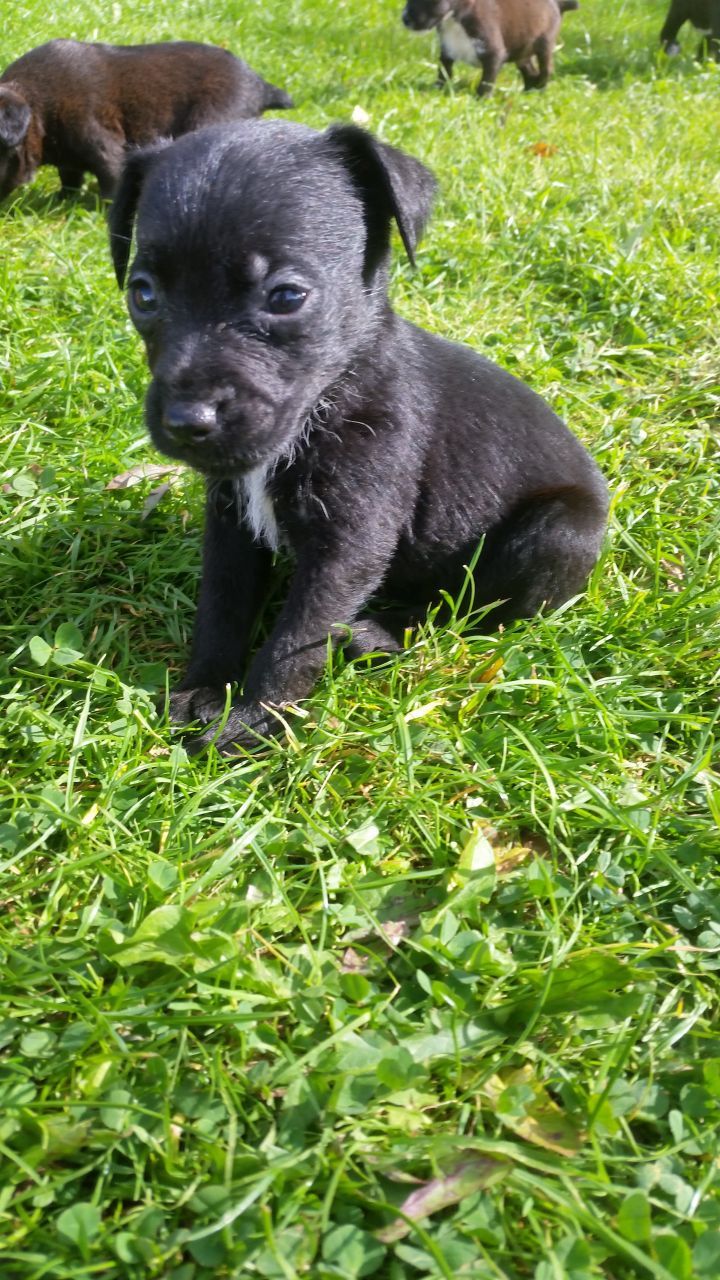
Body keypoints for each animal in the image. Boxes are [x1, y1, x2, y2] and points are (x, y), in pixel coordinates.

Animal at [0, 40, 292, 200]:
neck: (37, 105)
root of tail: (260, 85)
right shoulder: (69, 157)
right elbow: (70, 178)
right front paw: (62, 200)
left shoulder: (100, 142)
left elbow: (110, 179)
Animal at [110, 122, 604, 747]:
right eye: (143, 293)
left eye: (286, 296)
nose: (186, 422)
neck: (329, 393)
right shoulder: (231, 524)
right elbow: (221, 606)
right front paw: (207, 687)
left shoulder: (348, 544)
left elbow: (298, 637)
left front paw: (254, 718)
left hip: (558, 534)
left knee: (467, 611)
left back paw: (379, 635)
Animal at [404, 0, 576, 93]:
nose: (405, 19)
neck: (455, 21)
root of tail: (558, 4)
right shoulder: (447, 50)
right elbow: (444, 72)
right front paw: (437, 89)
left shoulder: (493, 53)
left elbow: (486, 82)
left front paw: (480, 100)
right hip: (522, 51)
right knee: (529, 70)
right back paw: (527, 91)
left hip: (544, 44)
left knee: (546, 69)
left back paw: (539, 91)